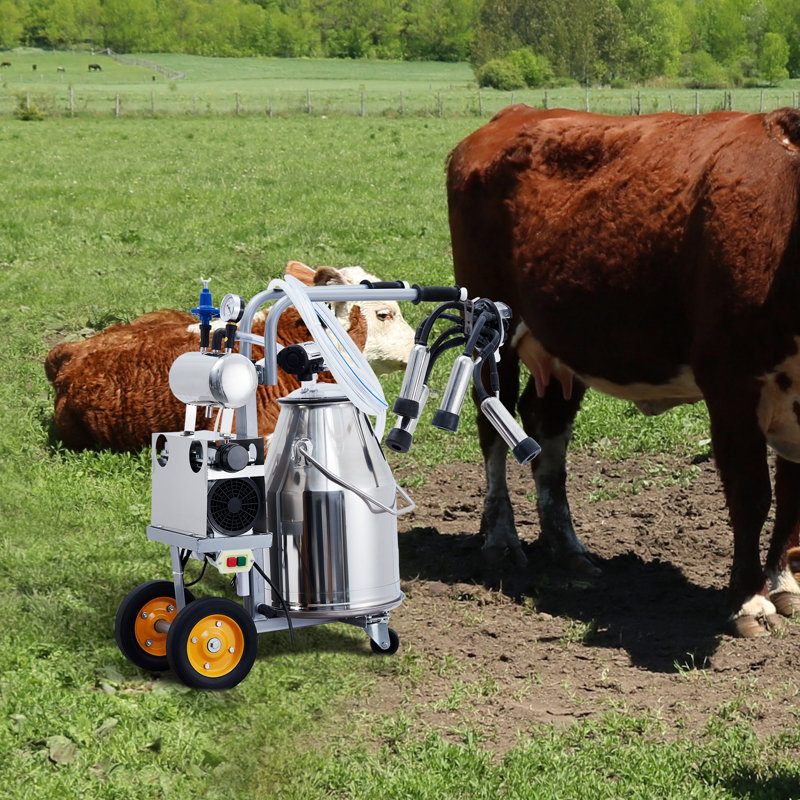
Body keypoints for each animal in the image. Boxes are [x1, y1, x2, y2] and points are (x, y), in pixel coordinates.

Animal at [446, 104, 800, 638]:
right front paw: (747, 600)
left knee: (545, 426)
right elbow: (751, 494)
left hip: (562, 340)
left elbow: (794, 494)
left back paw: (568, 548)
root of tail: (512, 115)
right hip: (491, 328)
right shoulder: (730, 383)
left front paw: (783, 584)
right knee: (494, 422)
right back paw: (501, 539)